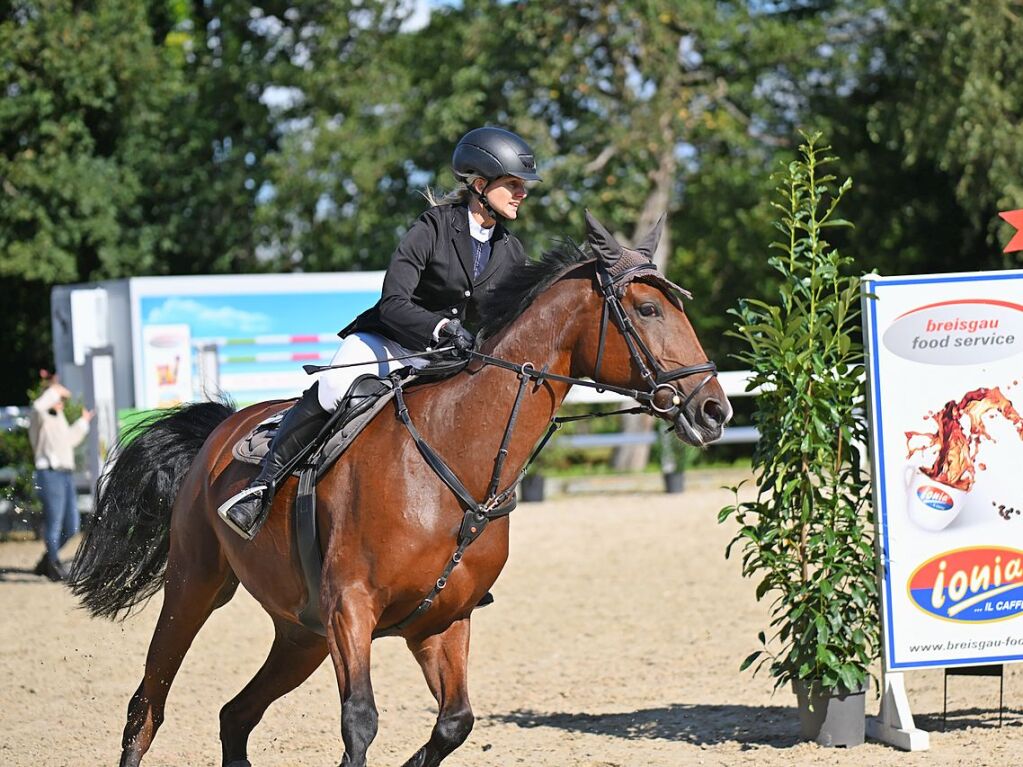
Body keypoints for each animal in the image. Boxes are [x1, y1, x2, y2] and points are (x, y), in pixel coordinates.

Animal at [70, 211, 728, 767]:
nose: (714, 410)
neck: (454, 458)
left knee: (236, 716)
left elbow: (454, 722)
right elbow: (360, 721)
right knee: (147, 706)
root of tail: (220, 427)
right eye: (647, 310)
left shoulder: (441, 620)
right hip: (196, 586)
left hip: (301, 634)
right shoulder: (350, 608)